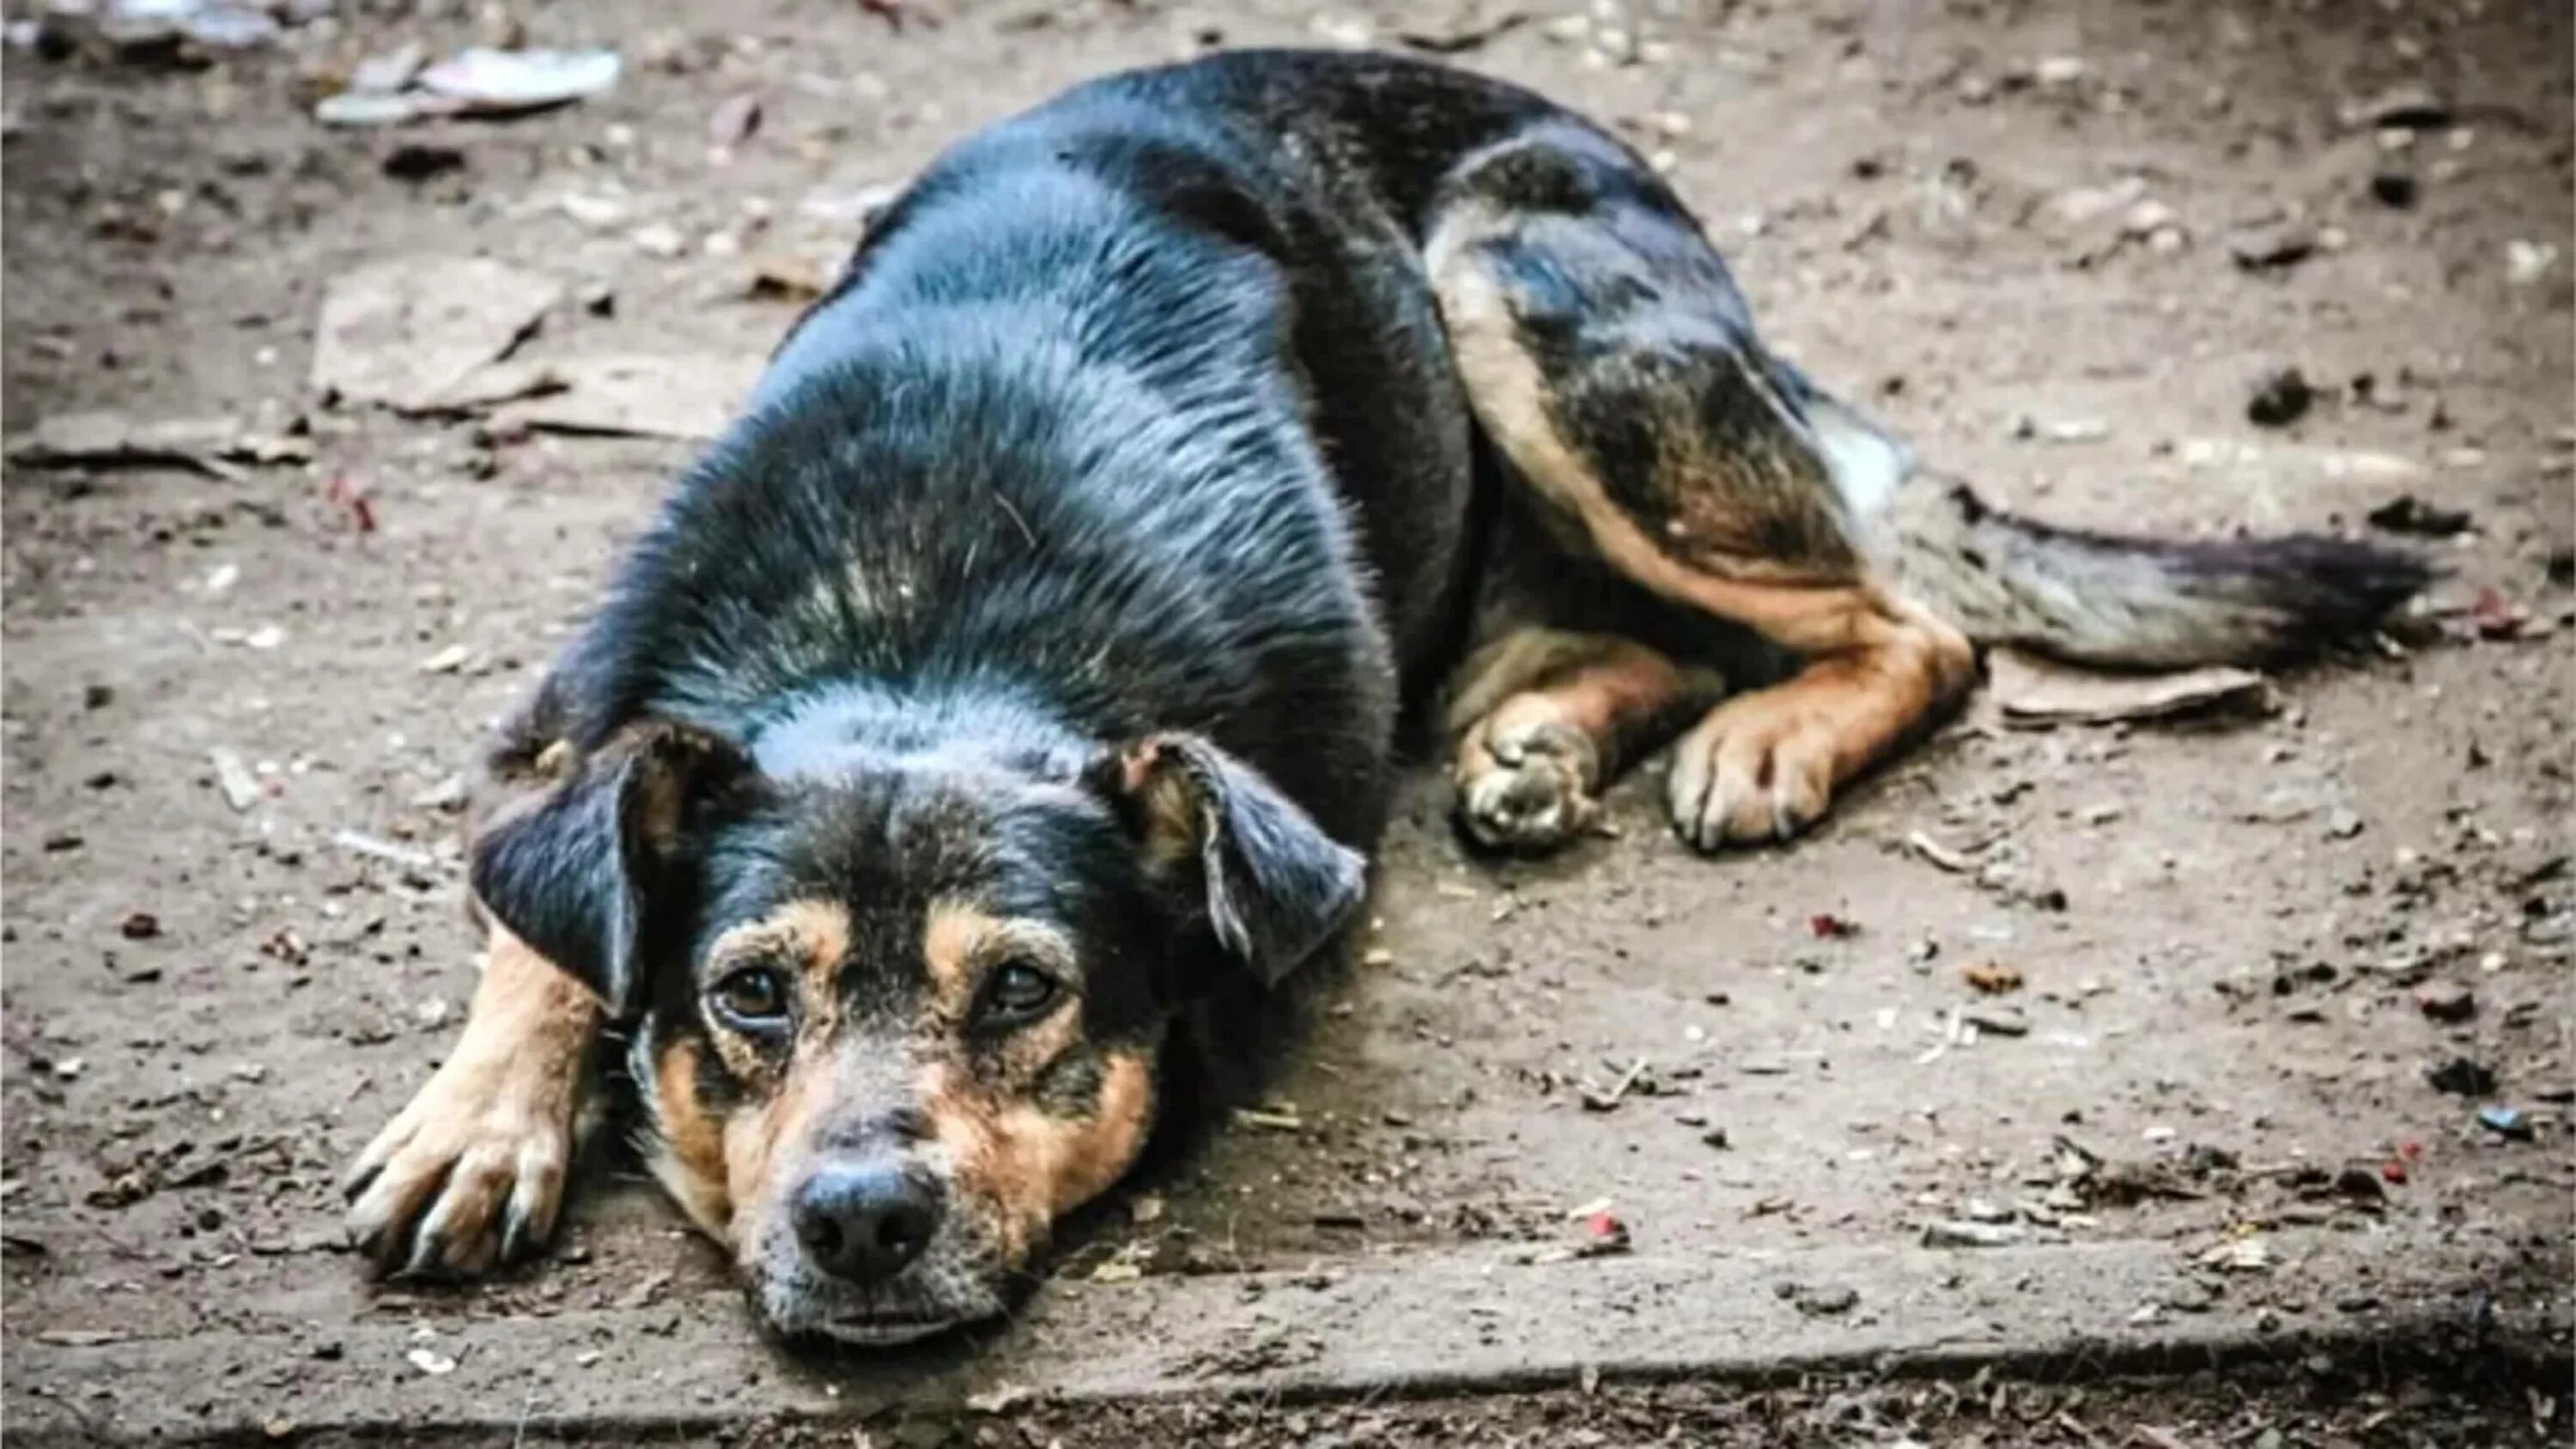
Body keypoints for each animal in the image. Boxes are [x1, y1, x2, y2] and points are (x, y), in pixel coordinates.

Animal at [337, 48, 2411, 1349]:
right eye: (751, 996)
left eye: (1022, 994)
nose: (860, 1221)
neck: (924, 627)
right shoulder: (584, 703)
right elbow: (542, 912)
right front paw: (480, 1119)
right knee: (1655, 629)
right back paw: (1540, 743)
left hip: (1521, 294)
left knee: (1905, 619)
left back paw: (1756, 737)